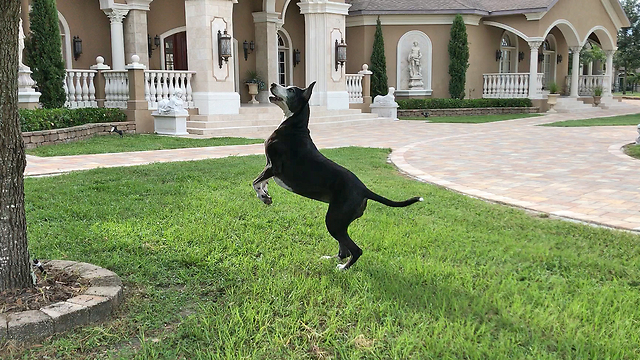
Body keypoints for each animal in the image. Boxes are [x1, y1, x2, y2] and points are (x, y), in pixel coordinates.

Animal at [252, 82, 422, 270]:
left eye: (291, 90)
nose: (273, 84)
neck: (294, 126)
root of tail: (364, 189)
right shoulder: (270, 167)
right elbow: (263, 182)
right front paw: (266, 195)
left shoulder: (274, 167)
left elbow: (255, 182)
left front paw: (262, 196)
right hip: (340, 221)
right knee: (345, 249)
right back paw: (331, 259)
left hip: (334, 220)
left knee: (355, 250)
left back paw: (343, 268)